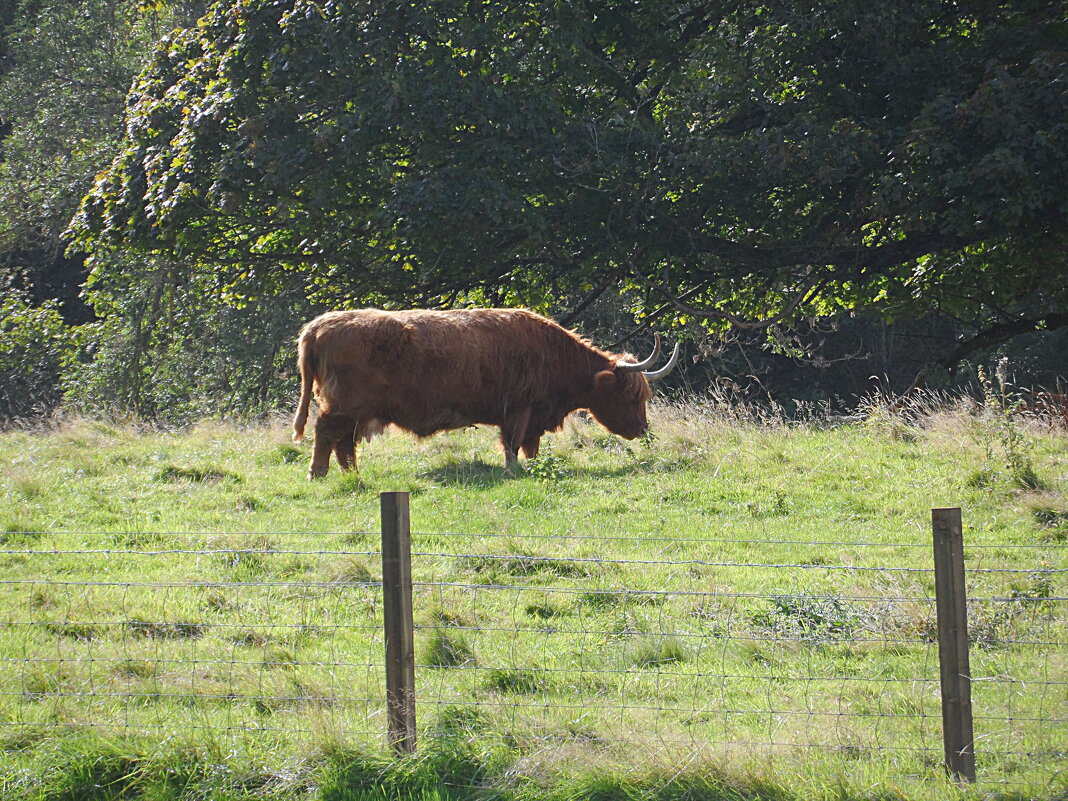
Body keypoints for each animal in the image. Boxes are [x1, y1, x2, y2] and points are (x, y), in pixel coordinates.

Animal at [290, 309, 674, 480]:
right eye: (631, 397)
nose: (642, 428)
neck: (552, 354)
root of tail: (317, 326)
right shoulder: (519, 408)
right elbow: (513, 443)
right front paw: (512, 470)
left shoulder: (531, 414)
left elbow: (530, 446)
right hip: (345, 404)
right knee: (326, 431)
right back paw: (318, 473)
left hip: (354, 409)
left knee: (343, 440)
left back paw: (351, 473)